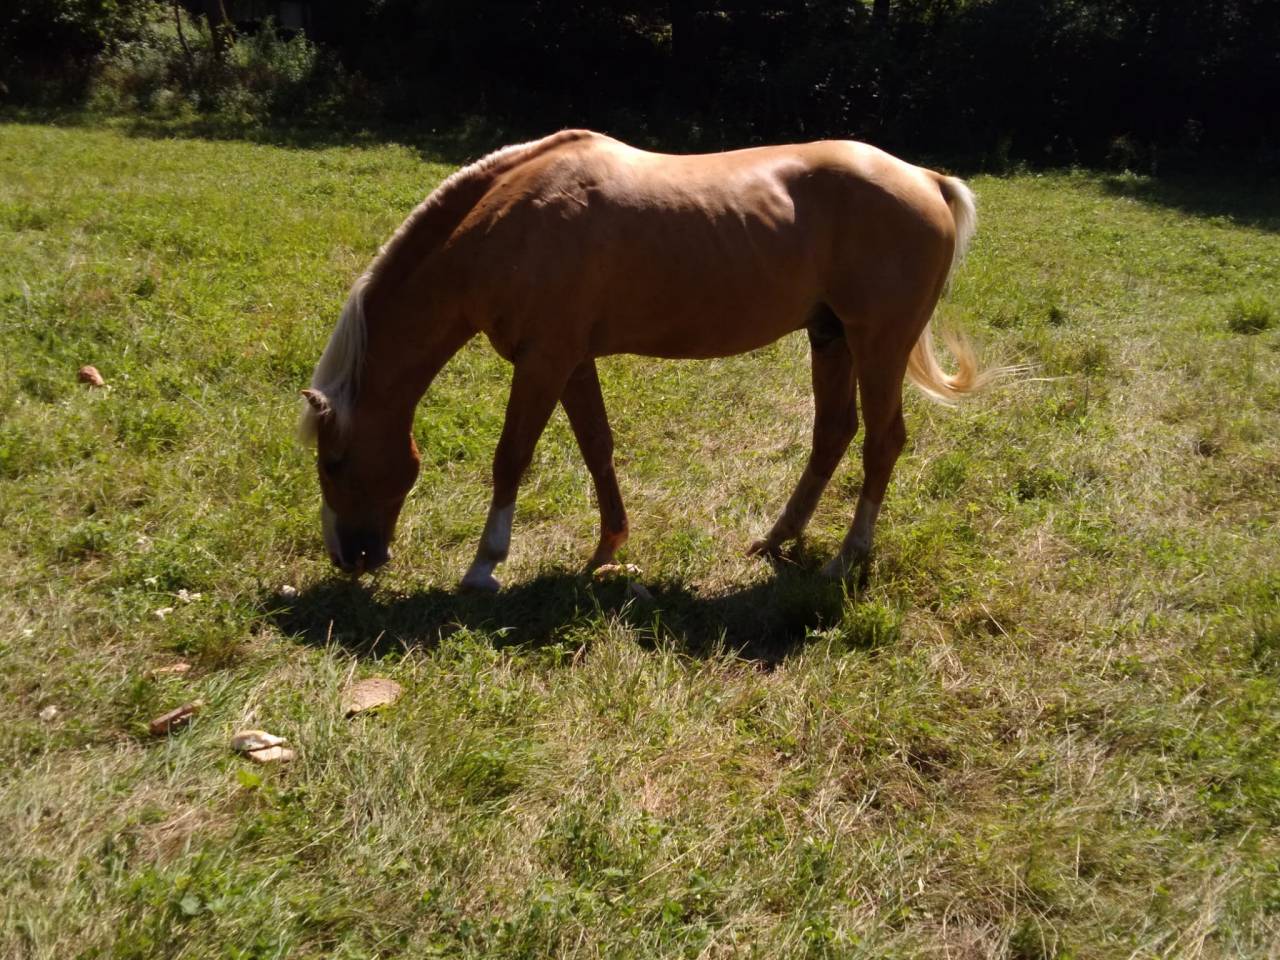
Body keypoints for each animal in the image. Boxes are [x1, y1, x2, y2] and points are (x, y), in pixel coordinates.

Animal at [299, 129, 995, 591]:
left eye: (334, 462)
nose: (350, 557)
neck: (507, 224)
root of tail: (927, 179)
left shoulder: (543, 363)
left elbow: (511, 458)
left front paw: (484, 566)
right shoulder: (569, 361)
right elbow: (597, 448)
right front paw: (608, 549)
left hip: (878, 343)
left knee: (882, 442)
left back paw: (848, 555)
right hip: (831, 339)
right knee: (833, 434)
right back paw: (778, 538)